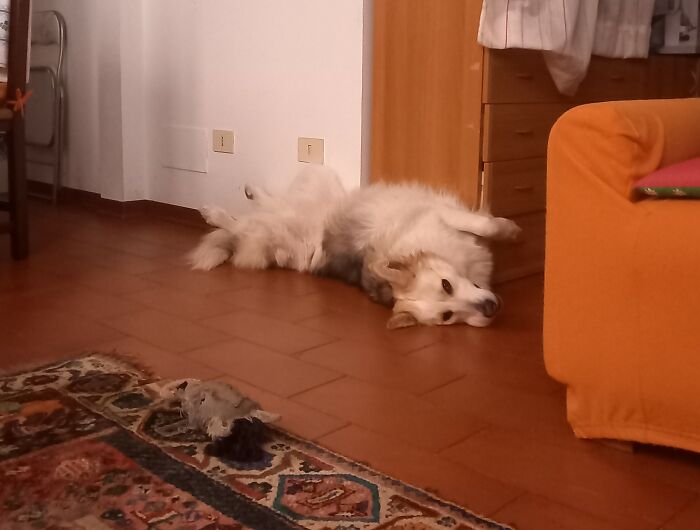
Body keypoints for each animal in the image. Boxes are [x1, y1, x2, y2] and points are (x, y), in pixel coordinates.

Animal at [189, 166, 521, 328]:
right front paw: (511, 230)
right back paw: (214, 213)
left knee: (267, 206)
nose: (490, 309)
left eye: (446, 285)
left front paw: (510, 231)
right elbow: (486, 225)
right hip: (273, 228)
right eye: (447, 316)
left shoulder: (443, 215)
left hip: (316, 180)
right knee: (242, 226)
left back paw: (247, 194)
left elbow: (485, 226)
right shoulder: (440, 214)